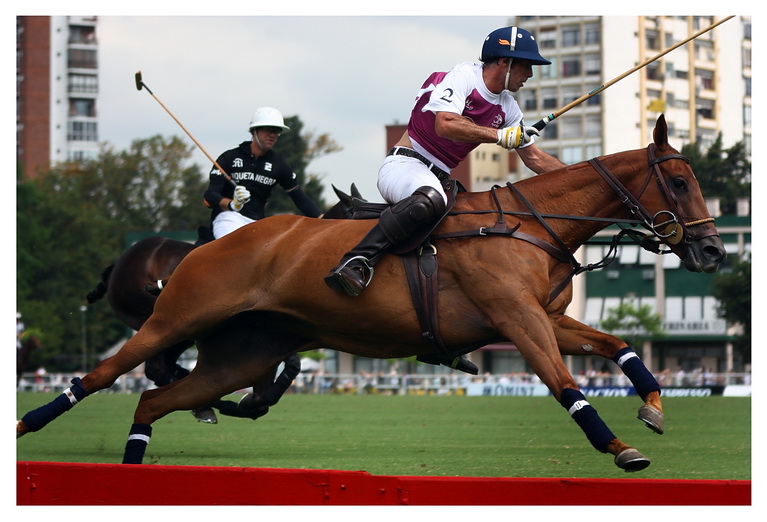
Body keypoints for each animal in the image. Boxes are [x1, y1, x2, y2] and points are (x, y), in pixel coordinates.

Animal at [84, 184, 363, 423]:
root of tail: (118, 264)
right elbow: (284, 369)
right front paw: (245, 403)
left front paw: (247, 403)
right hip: (164, 322)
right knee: (158, 368)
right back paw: (204, 405)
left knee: (165, 368)